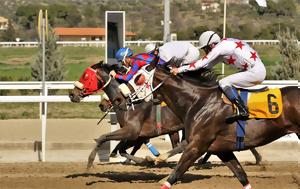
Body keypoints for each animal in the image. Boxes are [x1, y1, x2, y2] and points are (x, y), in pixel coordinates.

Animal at [152, 65, 300, 189]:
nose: (153, 101)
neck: (198, 101)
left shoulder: (197, 145)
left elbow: (176, 173)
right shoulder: (221, 149)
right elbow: (240, 174)